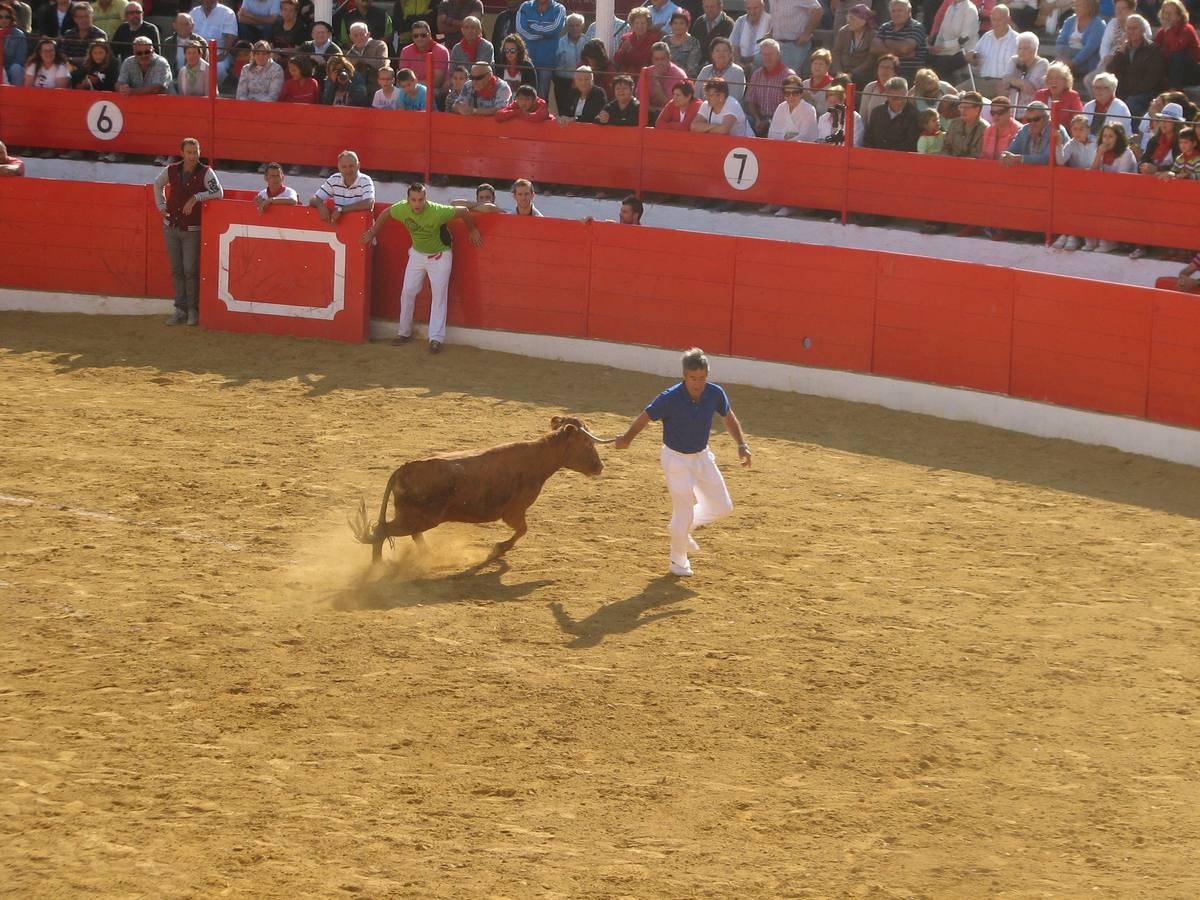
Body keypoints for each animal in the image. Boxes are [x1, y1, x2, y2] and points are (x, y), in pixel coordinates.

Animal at [348, 417, 609, 561]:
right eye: (587, 443)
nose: (600, 466)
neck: (538, 457)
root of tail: (403, 469)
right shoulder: (514, 512)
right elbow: (522, 529)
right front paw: (498, 549)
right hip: (415, 518)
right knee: (383, 531)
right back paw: (378, 565)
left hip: (417, 518)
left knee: (409, 534)